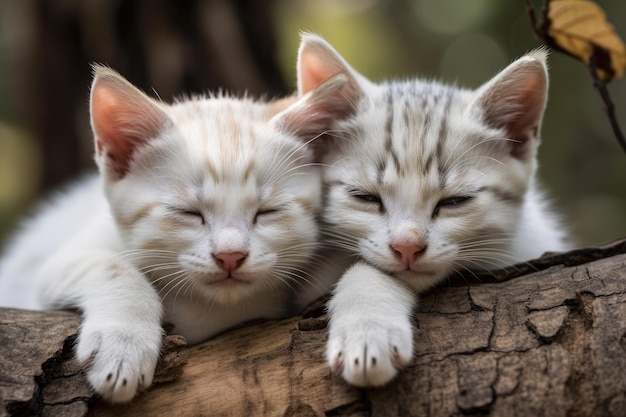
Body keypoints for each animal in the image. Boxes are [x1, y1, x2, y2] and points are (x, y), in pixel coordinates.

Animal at [0, 64, 352, 400]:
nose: (230, 256)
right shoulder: (48, 265)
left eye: (268, 212)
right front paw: (123, 345)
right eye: (188, 213)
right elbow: (111, 267)